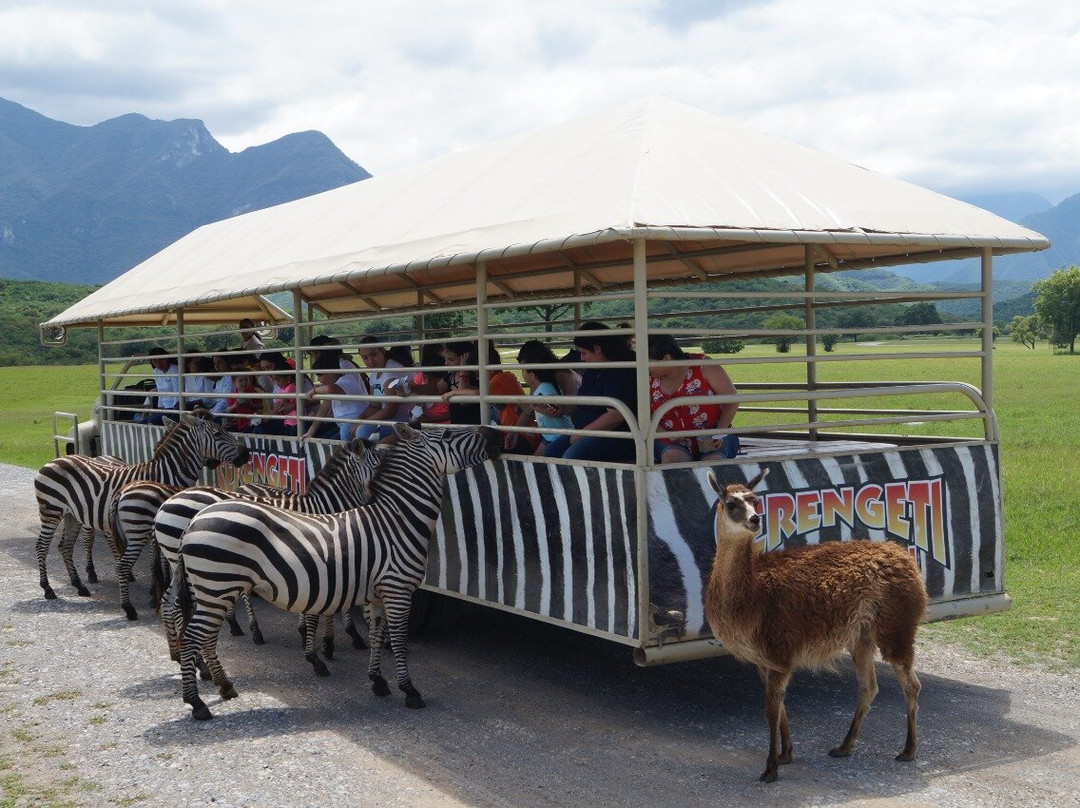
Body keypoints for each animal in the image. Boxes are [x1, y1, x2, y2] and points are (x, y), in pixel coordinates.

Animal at [33, 416, 248, 600]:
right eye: (218, 434)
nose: (246, 454)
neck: (165, 474)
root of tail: (54, 460)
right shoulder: (150, 522)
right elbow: (157, 558)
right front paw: (157, 589)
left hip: (72, 515)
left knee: (65, 546)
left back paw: (79, 585)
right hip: (51, 510)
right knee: (43, 545)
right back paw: (48, 589)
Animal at [173, 423, 501, 721]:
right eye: (447, 434)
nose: (493, 433)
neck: (396, 521)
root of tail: (196, 519)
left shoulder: (377, 592)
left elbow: (377, 633)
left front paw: (377, 681)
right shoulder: (398, 589)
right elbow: (399, 639)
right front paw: (409, 690)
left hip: (215, 589)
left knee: (205, 636)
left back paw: (224, 686)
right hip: (217, 586)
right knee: (192, 637)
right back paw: (197, 703)